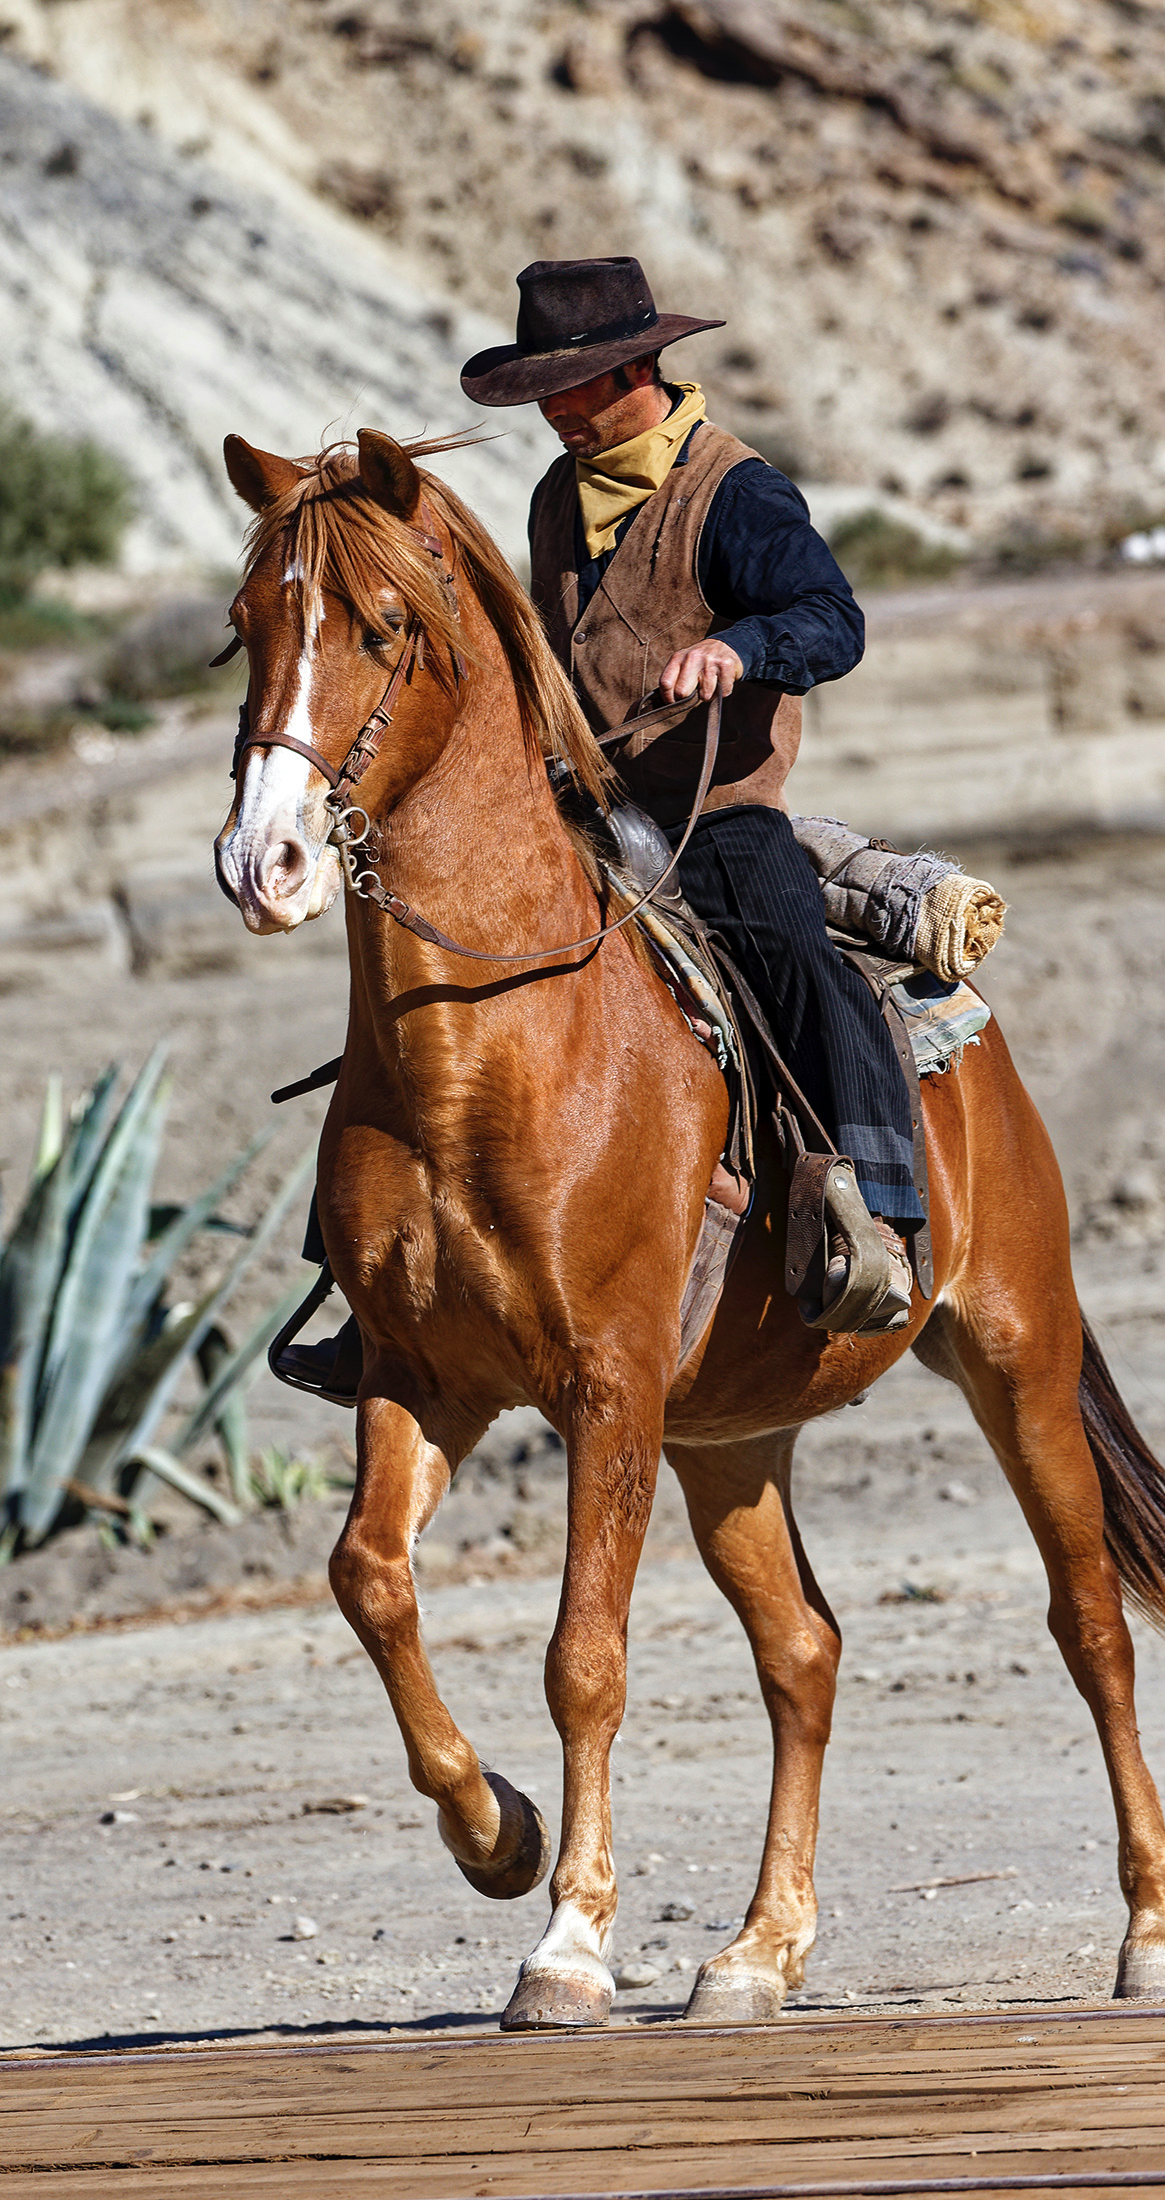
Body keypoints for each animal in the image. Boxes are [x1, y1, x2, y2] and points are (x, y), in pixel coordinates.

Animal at [213, 429, 1160, 2024]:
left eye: (383, 629)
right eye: (245, 626)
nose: (260, 861)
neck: (488, 1045)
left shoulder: (605, 1389)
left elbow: (583, 1654)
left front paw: (568, 1942)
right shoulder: (426, 1381)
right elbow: (368, 1578)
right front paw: (496, 1835)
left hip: (1013, 1353)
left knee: (1087, 1621)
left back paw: (1145, 1933)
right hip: (732, 1439)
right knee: (804, 1652)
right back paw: (757, 1952)